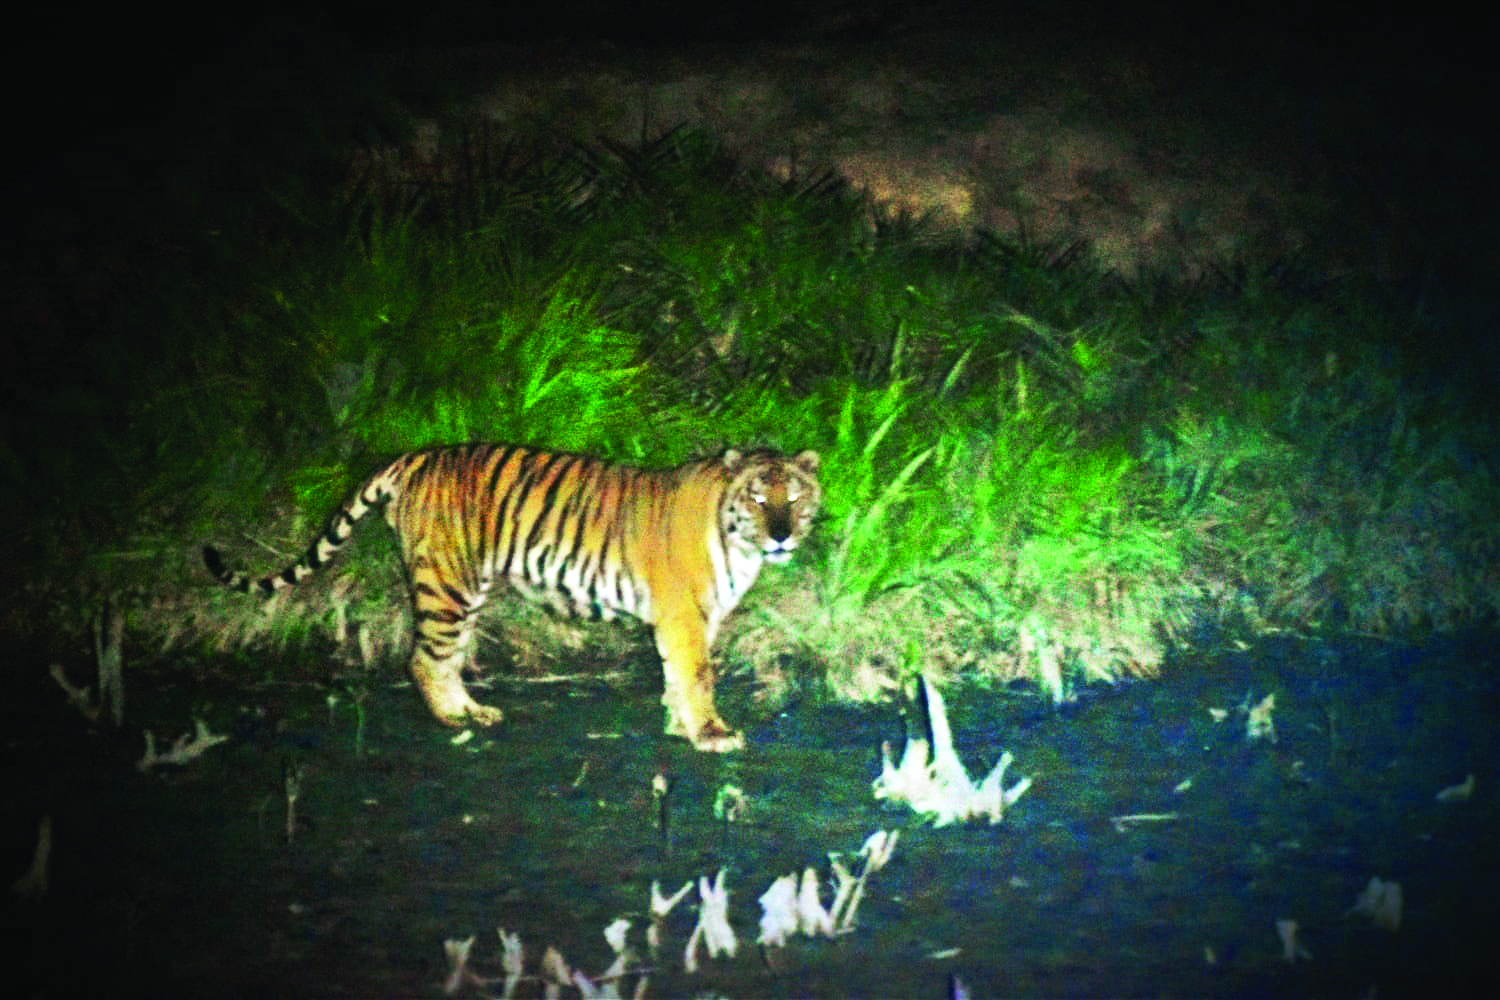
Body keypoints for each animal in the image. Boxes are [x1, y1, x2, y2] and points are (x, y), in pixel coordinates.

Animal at [203, 444, 821, 752]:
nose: (782, 534)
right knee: (424, 659)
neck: (739, 544)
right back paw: (455, 720)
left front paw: (679, 723)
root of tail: (415, 457)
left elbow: (680, 675)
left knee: (447, 657)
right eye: (759, 498)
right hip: (446, 585)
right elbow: (696, 674)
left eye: (793, 497)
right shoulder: (684, 614)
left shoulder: (700, 616)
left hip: (465, 589)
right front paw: (710, 734)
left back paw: (473, 710)